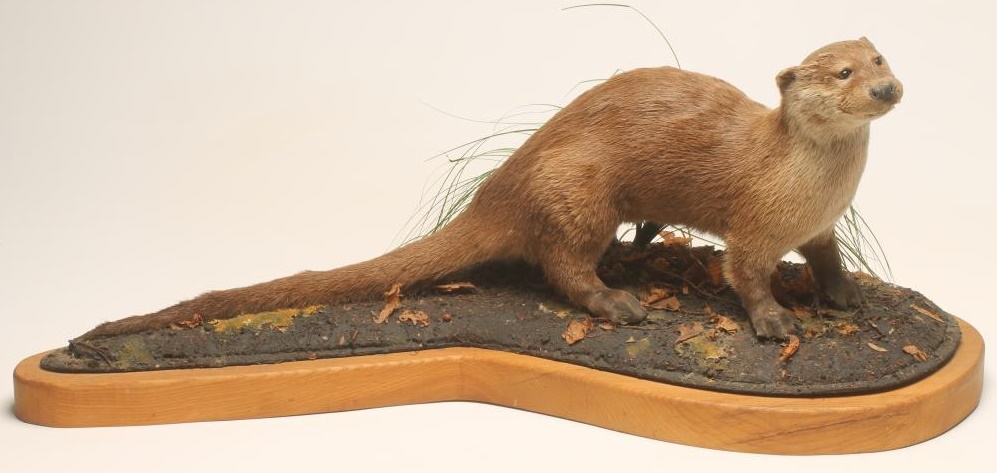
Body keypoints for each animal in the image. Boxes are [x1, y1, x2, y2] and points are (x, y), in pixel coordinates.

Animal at [80, 37, 901, 341]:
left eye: (880, 57)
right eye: (841, 73)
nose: (887, 88)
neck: (810, 179)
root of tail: (501, 187)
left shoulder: (820, 223)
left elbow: (827, 257)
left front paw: (844, 295)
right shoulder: (756, 226)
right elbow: (744, 273)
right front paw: (773, 320)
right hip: (575, 188)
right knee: (561, 264)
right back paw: (617, 300)